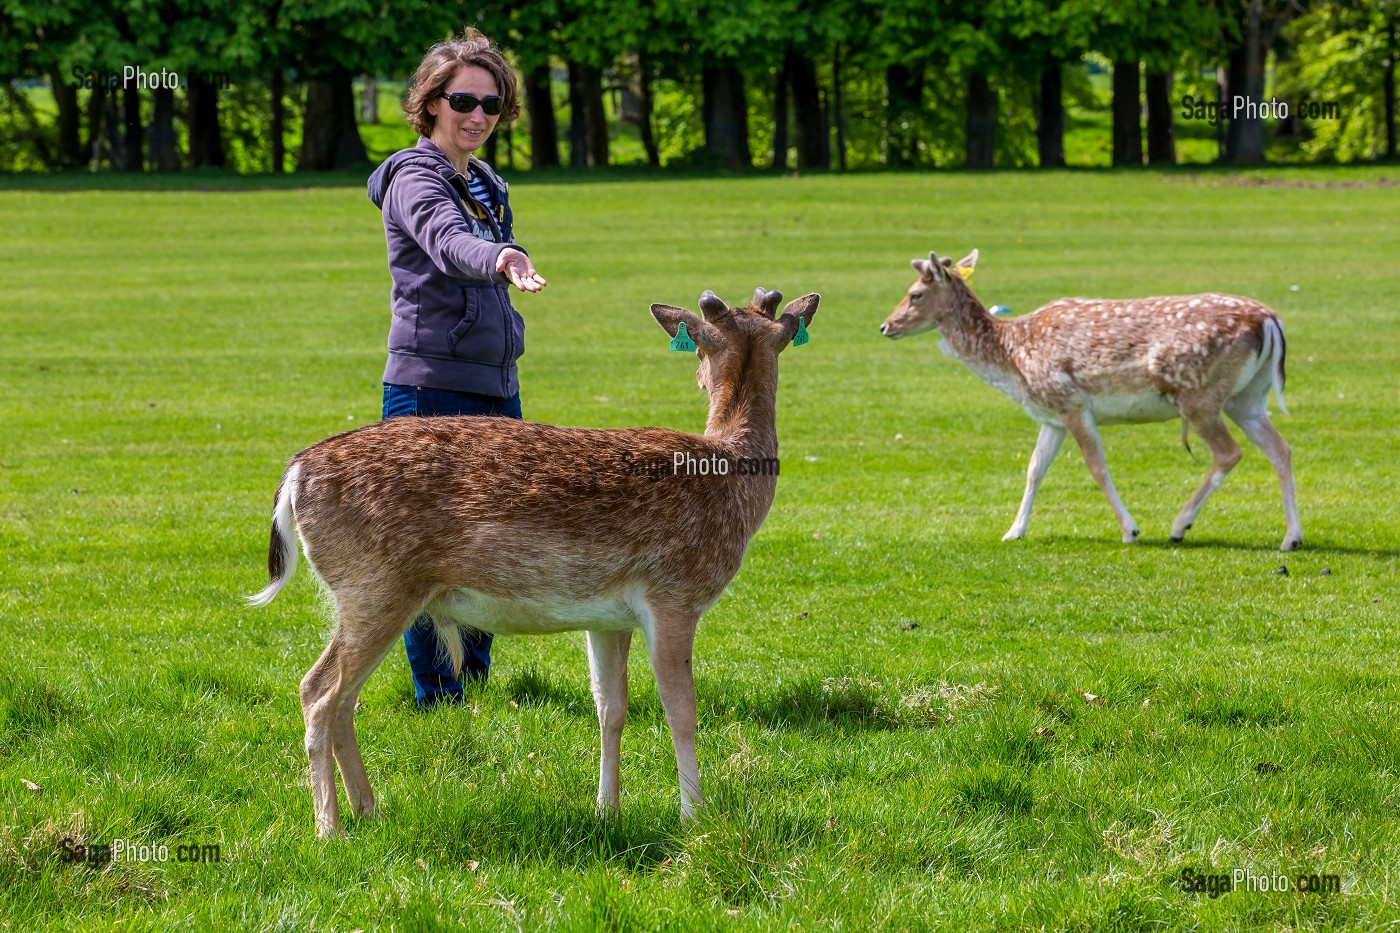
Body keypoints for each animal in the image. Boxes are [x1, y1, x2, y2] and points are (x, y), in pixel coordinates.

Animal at [246, 285, 817, 834]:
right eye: (697, 347)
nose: (699, 379)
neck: (732, 478)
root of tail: (294, 477)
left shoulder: (609, 618)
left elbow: (611, 708)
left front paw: (606, 811)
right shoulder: (675, 593)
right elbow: (681, 710)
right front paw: (693, 818)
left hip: (370, 596)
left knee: (345, 699)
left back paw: (368, 811)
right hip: (373, 587)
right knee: (318, 691)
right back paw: (329, 830)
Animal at [884, 249, 1299, 551]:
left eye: (914, 294)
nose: (885, 326)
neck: (1012, 358)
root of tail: (1271, 322)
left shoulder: (1071, 402)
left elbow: (1097, 467)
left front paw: (1130, 530)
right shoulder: (1050, 415)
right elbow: (1034, 469)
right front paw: (1013, 531)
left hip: (1197, 394)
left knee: (1229, 452)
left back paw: (1180, 525)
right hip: (1247, 398)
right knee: (1281, 448)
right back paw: (1290, 538)